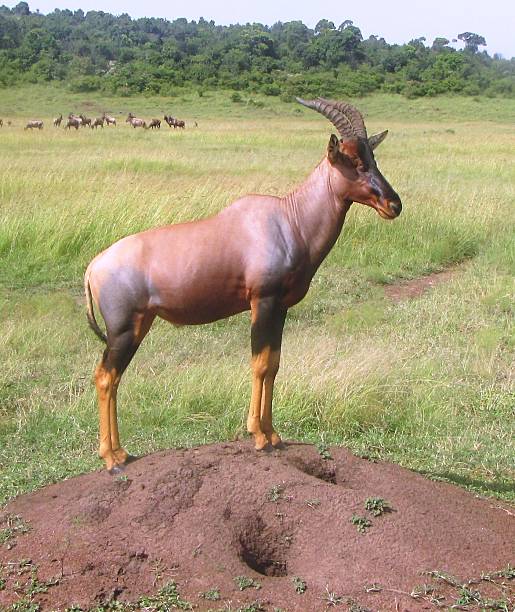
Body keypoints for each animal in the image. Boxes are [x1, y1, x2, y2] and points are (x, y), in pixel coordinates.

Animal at [85, 97, 404, 474]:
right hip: (123, 329)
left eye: (373, 157)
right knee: (106, 377)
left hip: (139, 324)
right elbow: (260, 364)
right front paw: (259, 437)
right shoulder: (261, 301)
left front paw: (274, 434)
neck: (288, 218)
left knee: (112, 377)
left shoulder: (280, 308)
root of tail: (93, 267)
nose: (394, 204)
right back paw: (113, 458)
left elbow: (274, 363)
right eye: (352, 161)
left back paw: (120, 453)